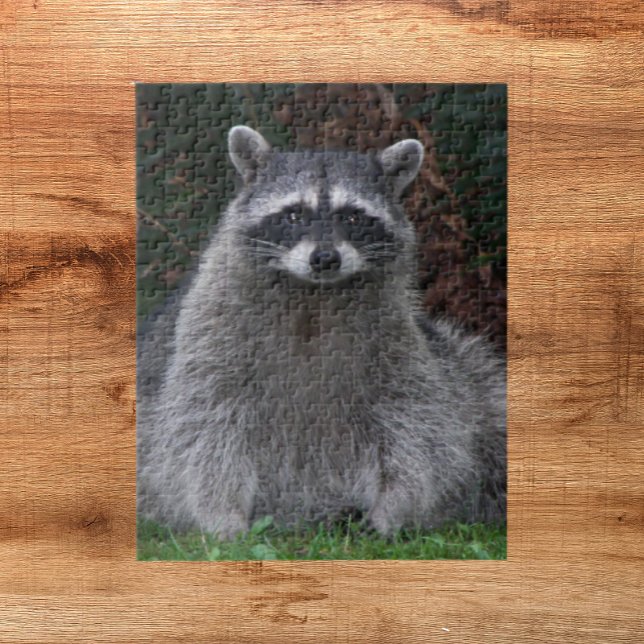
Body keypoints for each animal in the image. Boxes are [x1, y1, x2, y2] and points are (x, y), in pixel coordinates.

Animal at [137, 125, 506, 539]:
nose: (325, 258)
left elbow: (415, 422)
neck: (315, 295)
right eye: (295, 213)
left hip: (467, 373)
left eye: (354, 217)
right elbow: (203, 426)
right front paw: (222, 513)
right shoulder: (208, 336)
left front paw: (394, 505)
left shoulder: (398, 340)